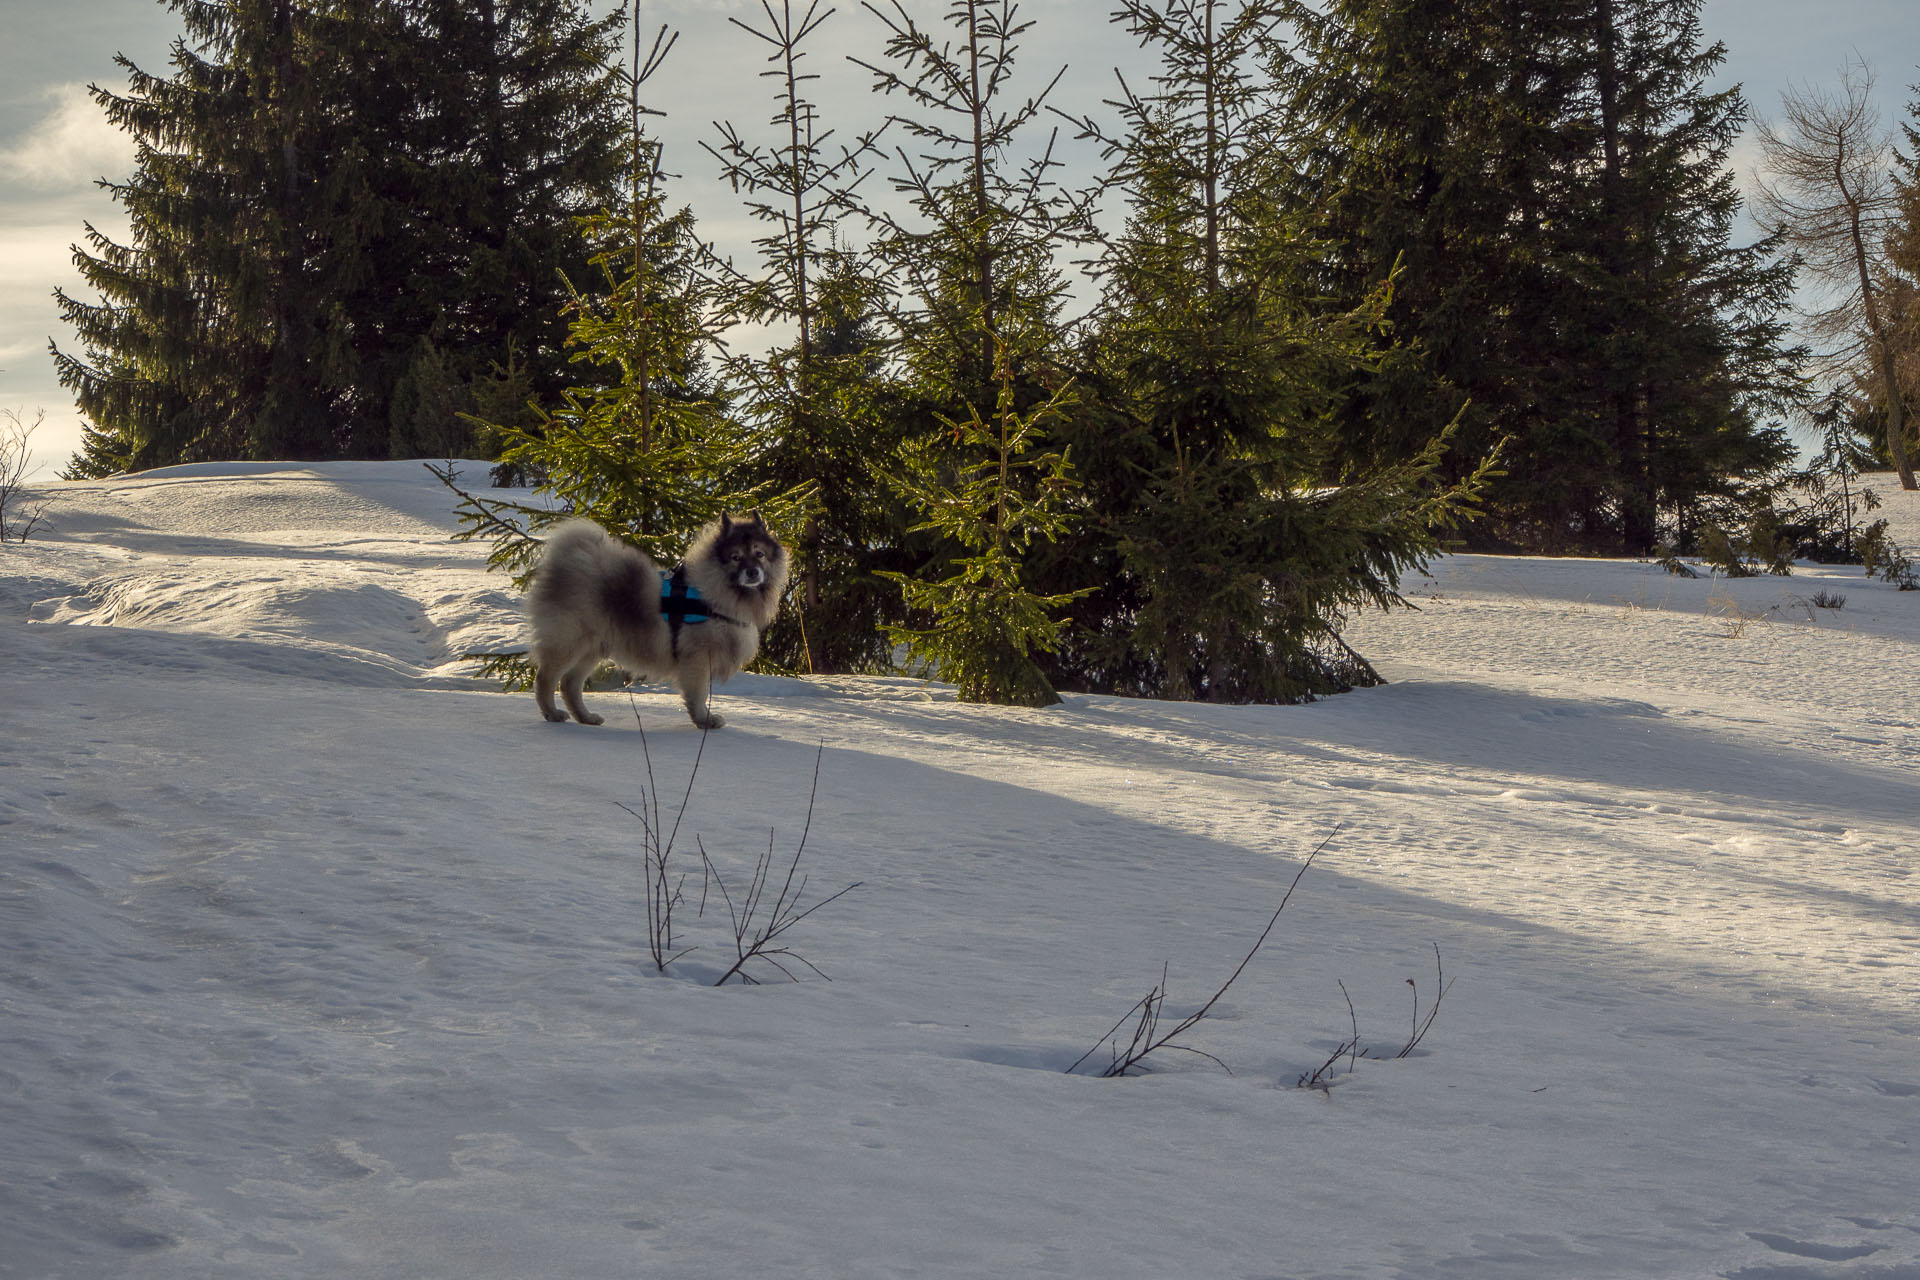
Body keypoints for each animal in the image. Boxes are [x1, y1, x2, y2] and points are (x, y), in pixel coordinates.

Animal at [526, 514, 787, 729]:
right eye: (735, 557)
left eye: (759, 554)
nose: (752, 572)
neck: (714, 594)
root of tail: (571, 558)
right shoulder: (698, 659)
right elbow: (699, 694)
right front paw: (704, 720)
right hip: (570, 642)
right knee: (546, 679)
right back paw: (552, 713)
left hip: (593, 648)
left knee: (570, 684)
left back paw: (586, 717)